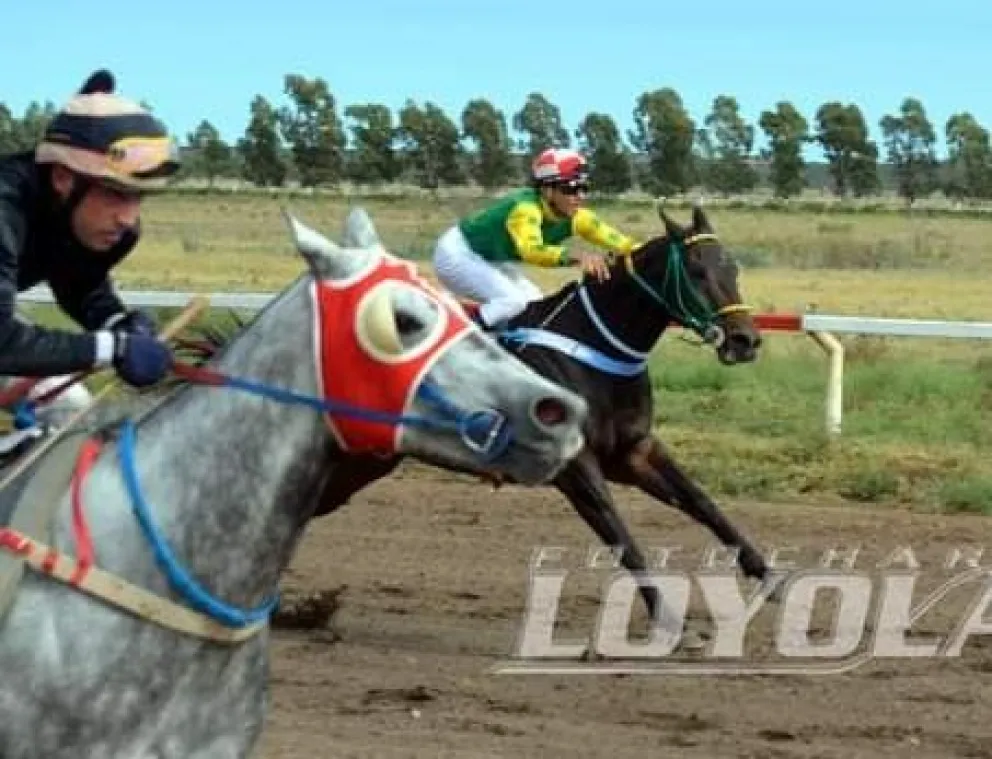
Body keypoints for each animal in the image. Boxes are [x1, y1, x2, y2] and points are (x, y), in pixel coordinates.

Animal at [172, 203, 783, 648]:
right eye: (698, 272)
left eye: (734, 268)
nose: (746, 341)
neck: (595, 345)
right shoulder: (576, 466)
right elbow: (621, 536)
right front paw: (673, 624)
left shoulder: (633, 451)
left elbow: (702, 503)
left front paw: (770, 576)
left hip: (362, 463)